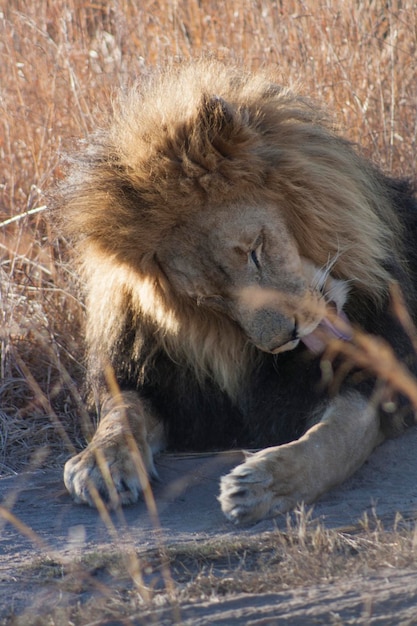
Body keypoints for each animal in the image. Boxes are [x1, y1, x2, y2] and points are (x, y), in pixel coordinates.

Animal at [55, 61, 416, 524]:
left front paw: (265, 484)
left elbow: (337, 437)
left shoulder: (385, 373)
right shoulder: (159, 382)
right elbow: (122, 414)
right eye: (209, 298)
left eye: (254, 252)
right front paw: (100, 466)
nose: (284, 340)